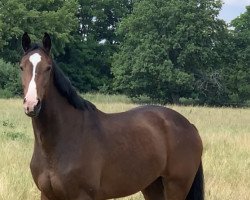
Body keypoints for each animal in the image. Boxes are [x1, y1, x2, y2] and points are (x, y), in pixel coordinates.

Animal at [19, 33, 203, 200]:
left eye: (48, 68)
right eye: (21, 67)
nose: (32, 104)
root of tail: (190, 126)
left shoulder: (82, 196)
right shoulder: (47, 195)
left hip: (176, 187)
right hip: (153, 186)